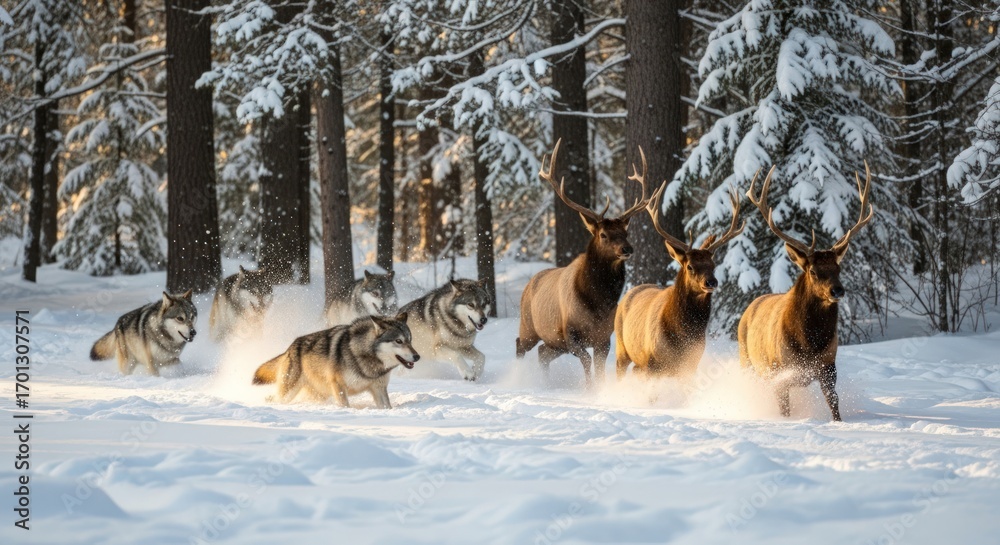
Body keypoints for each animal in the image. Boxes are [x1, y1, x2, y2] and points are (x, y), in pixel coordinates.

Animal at [251, 313, 419, 409]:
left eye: (410, 340)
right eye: (399, 341)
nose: (417, 357)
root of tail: (289, 348)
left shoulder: (379, 388)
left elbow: (387, 407)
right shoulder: (338, 385)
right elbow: (345, 406)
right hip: (288, 393)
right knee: (273, 399)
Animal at [516, 138, 650, 386]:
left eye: (626, 232)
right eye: (603, 235)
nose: (627, 249)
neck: (597, 302)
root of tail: (529, 284)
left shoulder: (603, 337)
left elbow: (599, 367)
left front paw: (598, 387)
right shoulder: (571, 333)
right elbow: (587, 362)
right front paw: (588, 388)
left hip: (554, 341)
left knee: (542, 353)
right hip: (529, 325)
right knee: (520, 345)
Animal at [614, 180, 745, 381]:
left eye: (713, 265)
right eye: (690, 266)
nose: (711, 282)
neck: (682, 336)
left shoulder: (689, 366)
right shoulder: (652, 363)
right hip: (622, 348)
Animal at [738, 163, 874, 422]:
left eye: (838, 268)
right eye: (813, 270)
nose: (837, 290)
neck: (809, 343)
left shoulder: (829, 366)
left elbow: (834, 403)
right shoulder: (779, 370)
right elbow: (785, 410)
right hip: (747, 360)